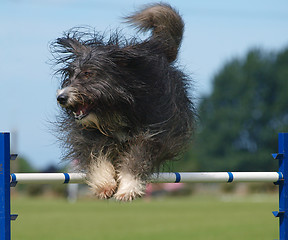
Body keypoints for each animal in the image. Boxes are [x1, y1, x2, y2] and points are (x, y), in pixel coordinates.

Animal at [51, 3, 196, 201]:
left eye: (88, 74)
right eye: (70, 75)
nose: (61, 98)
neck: (117, 109)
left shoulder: (153, 132)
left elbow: (136, 160)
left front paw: (128, 188)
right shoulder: (91, 135)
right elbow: (97, 158)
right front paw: (104, 184)